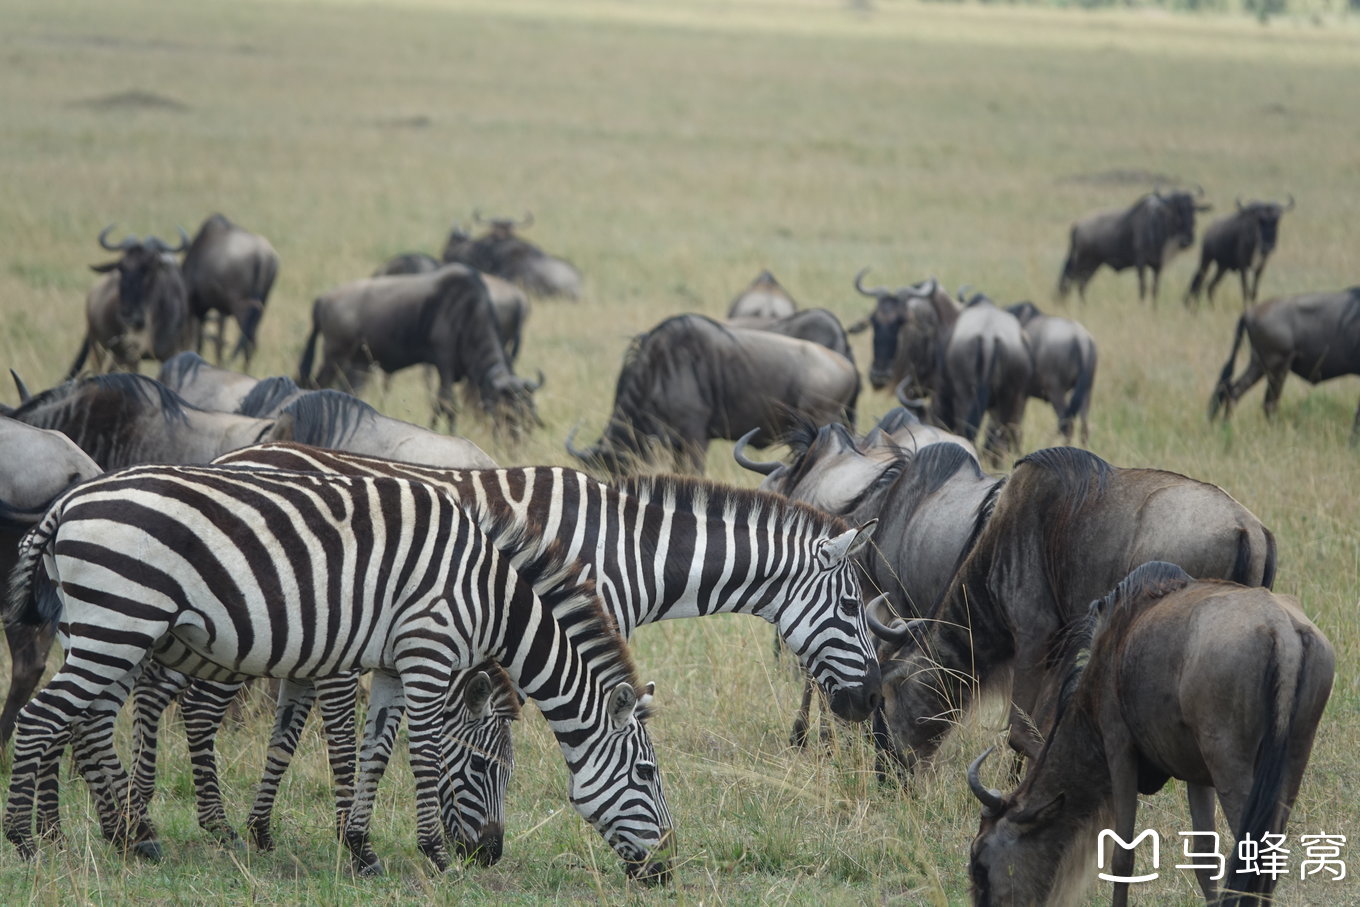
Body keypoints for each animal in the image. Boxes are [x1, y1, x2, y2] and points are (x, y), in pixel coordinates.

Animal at [3, 462, 674, 881]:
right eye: (646, 773)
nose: (666, 871)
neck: (489, 594)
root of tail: (69, 501)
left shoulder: (393, 665)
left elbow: (376, 751)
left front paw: (361, 850)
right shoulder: (428, 651)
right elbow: (421, 754)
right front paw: (434, 857)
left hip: (103, 627)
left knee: (82, 723)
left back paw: (116, 835)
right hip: (120, 622)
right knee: (42, 719)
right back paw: (30, 843)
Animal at [119, 443, 881, 864]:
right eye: (852, 609)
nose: (871, 698)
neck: (624, 549)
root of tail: (230, 457)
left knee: (176, 692)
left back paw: (214, 823)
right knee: (188, 704)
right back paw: (192, 824)